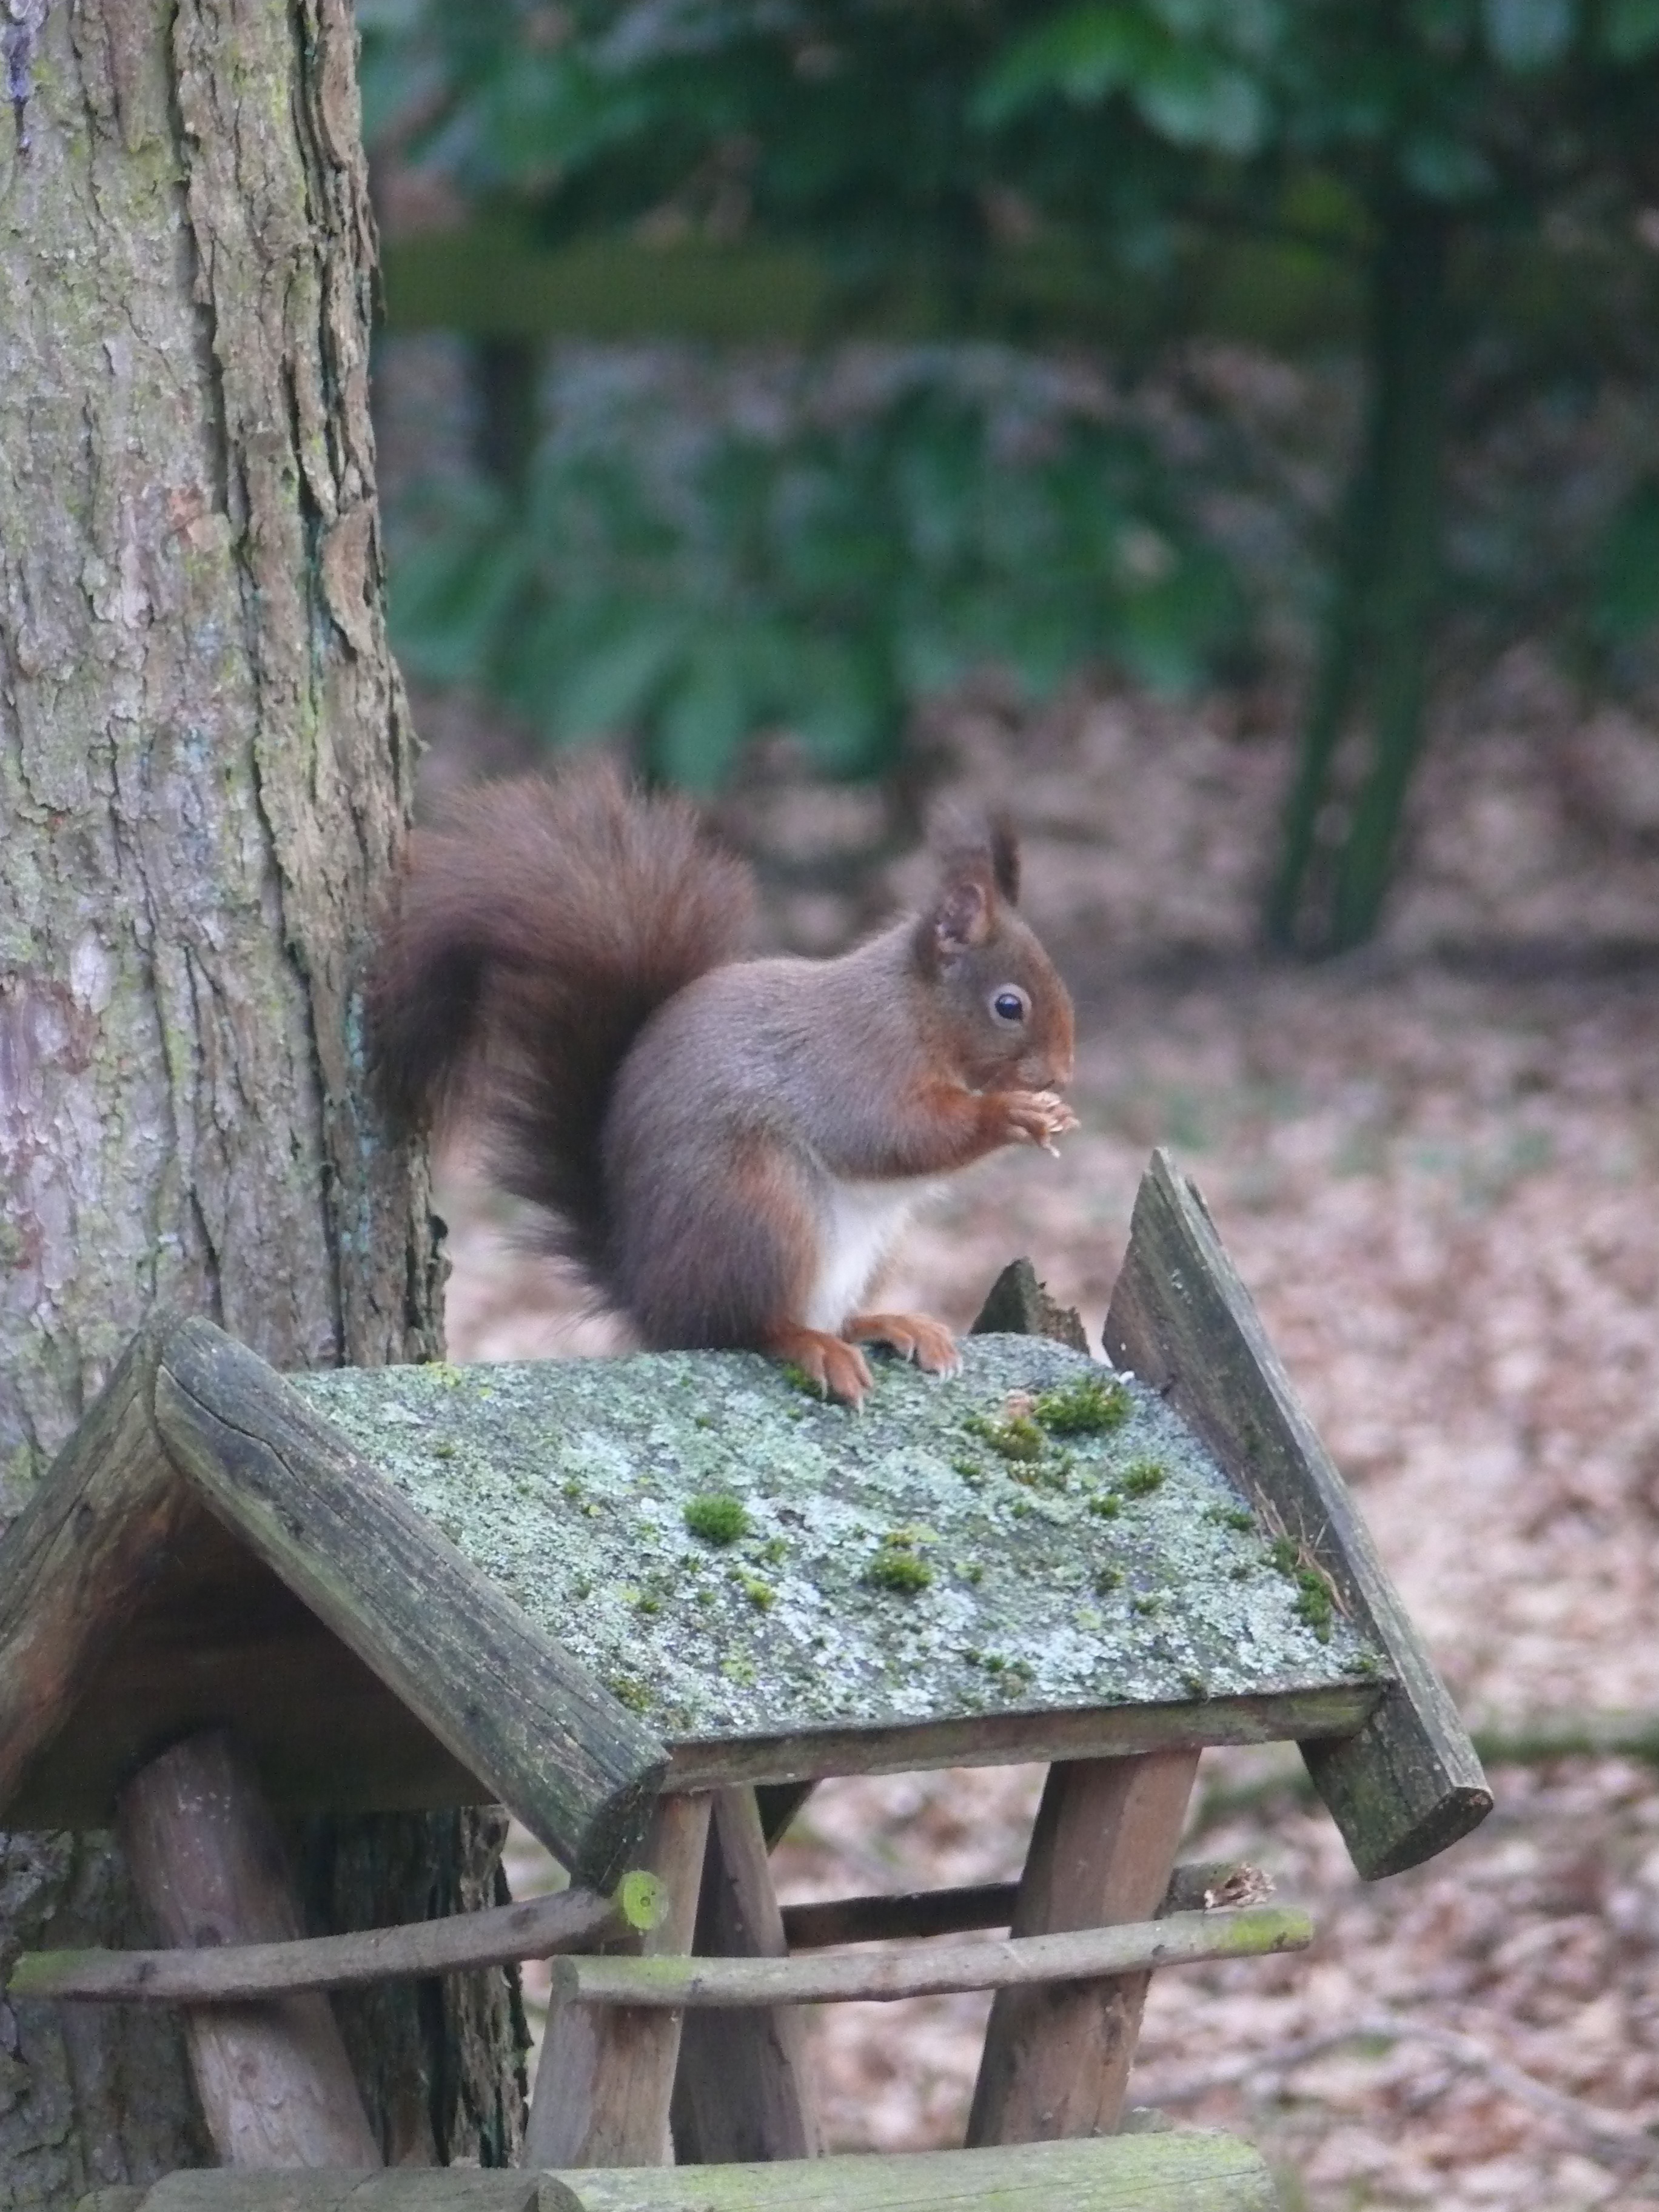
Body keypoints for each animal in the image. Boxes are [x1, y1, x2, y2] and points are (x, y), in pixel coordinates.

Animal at [367, 760, 1079, 1407]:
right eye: (1009, 1006)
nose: (1064, 1073)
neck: (917, 1010)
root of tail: (650, 1298)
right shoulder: (859, 1064)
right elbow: (895, 1136)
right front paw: (1014, 1113)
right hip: (760, 1208)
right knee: (741, 1327)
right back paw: (810, 1345)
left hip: (876, 1246)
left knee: (825, 1315)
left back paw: (888, 1323)